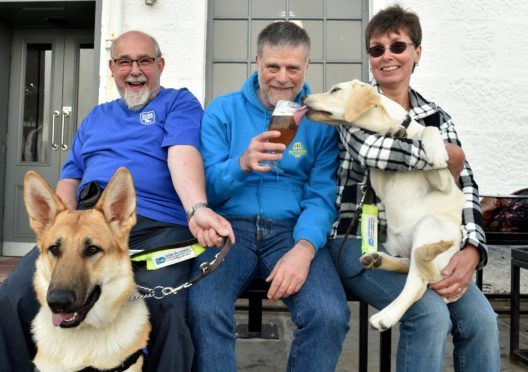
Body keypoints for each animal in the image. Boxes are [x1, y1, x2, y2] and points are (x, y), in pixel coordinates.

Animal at [300, 80, 464, 330]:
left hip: (429, 225)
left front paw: (435, 151)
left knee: (418, 281)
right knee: (409, 264)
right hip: (399, 244)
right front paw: (394, 132)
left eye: (336, 90)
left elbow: (428, 130)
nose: (303, 98)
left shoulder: (445, 182)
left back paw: (386, 316)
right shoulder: (377, 178)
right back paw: (376, 259)